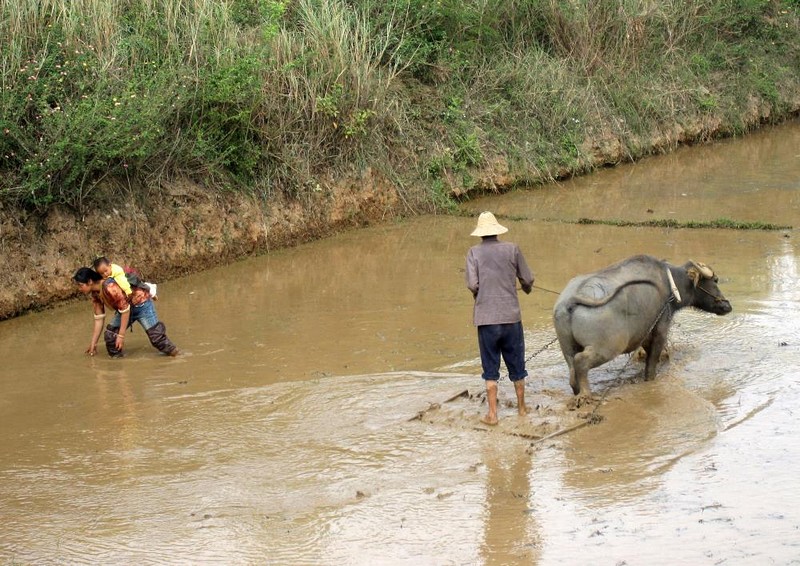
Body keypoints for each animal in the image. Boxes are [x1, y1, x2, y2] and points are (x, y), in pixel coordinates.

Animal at [556, 255, 732, 402]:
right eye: (715, 280)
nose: (727, 306)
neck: (670, 284)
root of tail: (570, 300)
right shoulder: (660, 329)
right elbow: (652, 363)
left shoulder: (645, 333)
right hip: (608, 347)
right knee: (580, 361)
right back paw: (586, 395)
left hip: (567, 347)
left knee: (572, 371)